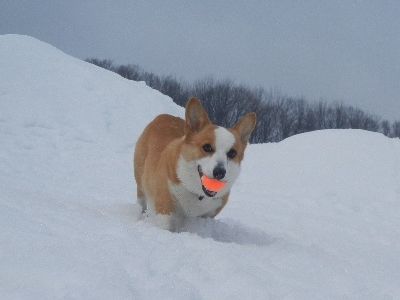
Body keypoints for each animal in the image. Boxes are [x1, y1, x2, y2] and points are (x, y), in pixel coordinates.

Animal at [134, 98, 256, 230]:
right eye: (207, 147)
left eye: (232, 153)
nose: (219, 172)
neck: (197, 193)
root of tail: (163, 116)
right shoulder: (164, 207)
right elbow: (166, 225)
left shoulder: (208, 214)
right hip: (140, 181)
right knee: (141, 200)